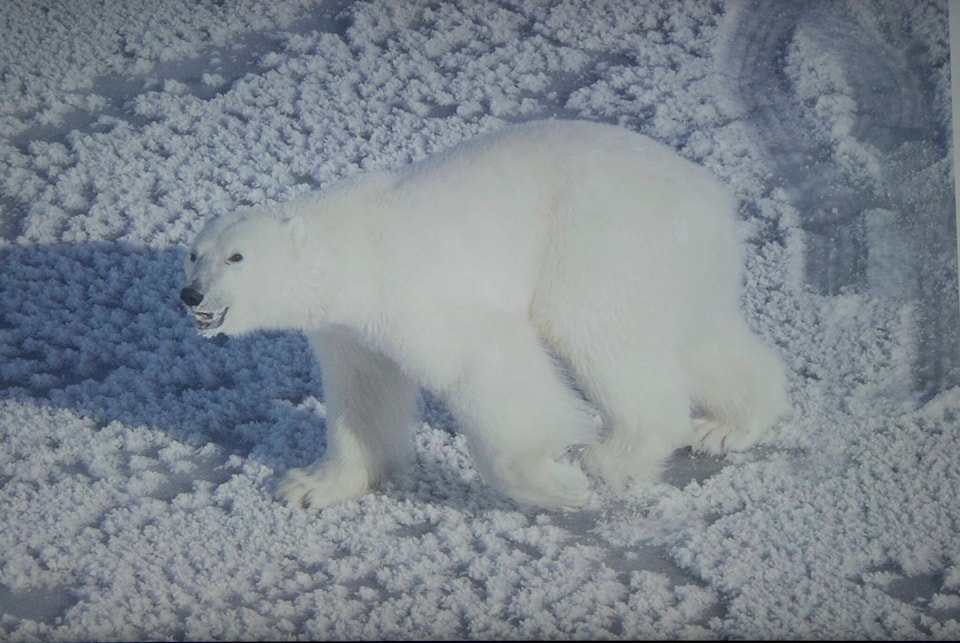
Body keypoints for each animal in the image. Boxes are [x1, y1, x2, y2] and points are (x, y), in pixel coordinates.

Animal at [180, 119, 790, 510]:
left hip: (595, 238)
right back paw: (729, 426)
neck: (347, 244)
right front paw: (311, 485)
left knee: (596, 330)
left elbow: (491, 365)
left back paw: (611, 455)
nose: (191, 295)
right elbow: (364, 394)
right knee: (701, 334)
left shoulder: (412, 289)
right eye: (193, 252)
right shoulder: (350, 330)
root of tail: (711, 196)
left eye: (237, 257)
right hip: (678, 263)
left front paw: (558, 484)